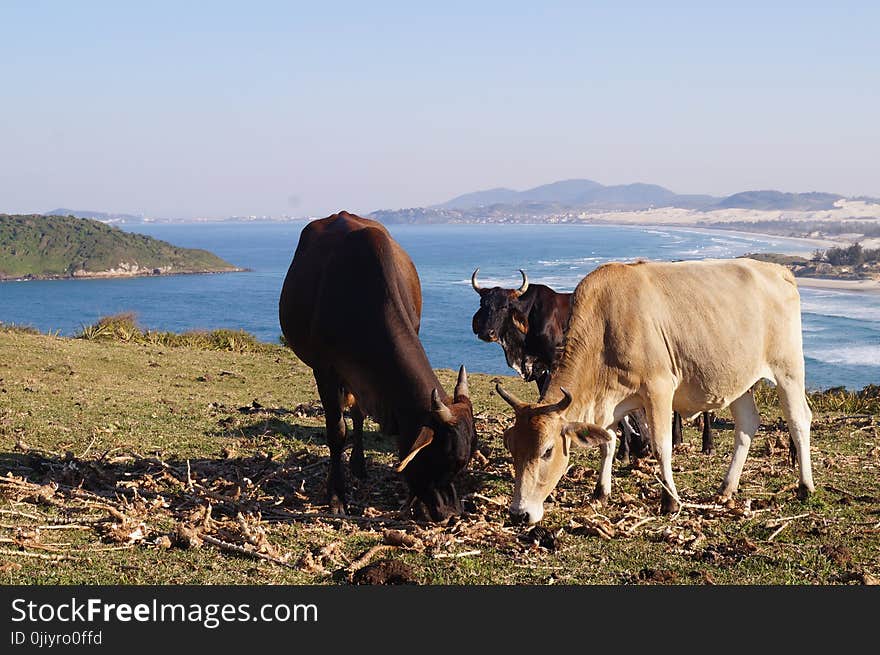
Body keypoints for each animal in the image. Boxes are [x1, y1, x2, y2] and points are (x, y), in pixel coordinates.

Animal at [280, 213, 474, 520]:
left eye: (463, 464)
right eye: (442, 458)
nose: (451, 513)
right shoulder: (325, 371)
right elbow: (336, 432)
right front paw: (336, 496)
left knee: (359, 414)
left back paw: (359, 465)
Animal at [470, 270, 712, 458]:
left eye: (504, 306)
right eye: (484, 304)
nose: (486, 333)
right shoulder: (540, 368)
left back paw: (705, 444)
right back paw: (675, 439)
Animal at [498, 256, 816, 524]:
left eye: (547, 451)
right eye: (512, 447)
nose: (519, 514)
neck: (606, 324)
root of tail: (778, 270)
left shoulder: (659, 389)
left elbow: (661, 445)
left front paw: (670, 501)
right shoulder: (612, 402)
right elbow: (608, 443)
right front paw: (601, 492)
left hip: (788, 369)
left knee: (799, 420)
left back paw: (805, 486)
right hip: (740, 380)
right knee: (747, 425)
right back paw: (726, 488)